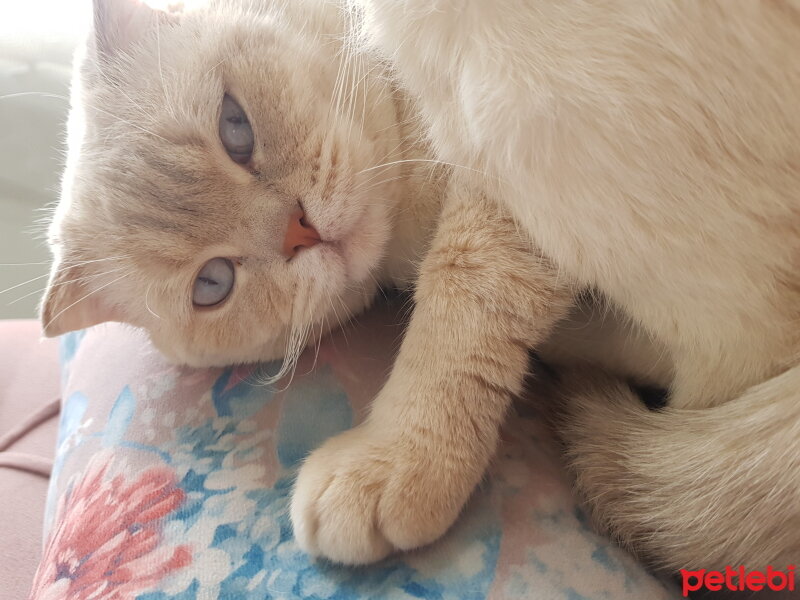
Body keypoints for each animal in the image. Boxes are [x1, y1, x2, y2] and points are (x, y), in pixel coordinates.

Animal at [42, 0, 800, 572]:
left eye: (236, 128)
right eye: (213, 285)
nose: (300, 233)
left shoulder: (499, 180)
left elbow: (457, 302)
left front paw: (397, 456)